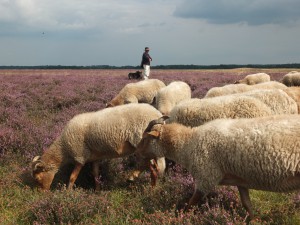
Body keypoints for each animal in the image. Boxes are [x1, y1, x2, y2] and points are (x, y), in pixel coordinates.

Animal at [30, 103, 165, 190]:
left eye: (37, 179)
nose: (41, 194)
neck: (64, 149)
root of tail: (157, 113)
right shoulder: (94, 158)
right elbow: (95, 175)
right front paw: (98, 191)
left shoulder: (80, 156)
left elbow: (72, 177)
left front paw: (68, 193)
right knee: (152, 165)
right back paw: (136, 179)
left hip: (141, 143)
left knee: (152, 168)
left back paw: (151, 189)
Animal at [136, 114, 300, 218]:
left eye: (145, 138)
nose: (136, 152)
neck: (188, 144)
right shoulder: (240, 180)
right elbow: (247, 205)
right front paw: (253, 220)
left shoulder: (206, 177)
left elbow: (190, 205)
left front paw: (180, 218)